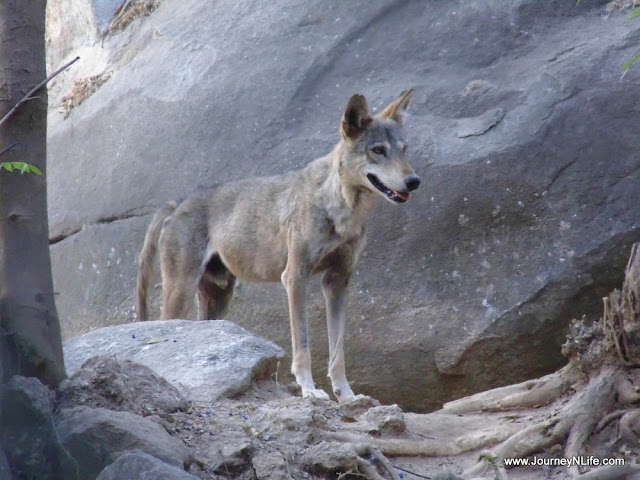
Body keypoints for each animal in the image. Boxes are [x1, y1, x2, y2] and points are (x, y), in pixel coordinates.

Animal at [136, 89, 420, 402]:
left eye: (404, 149)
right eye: (378, 150)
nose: (414, 181)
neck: (342, 209)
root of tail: (179, 201)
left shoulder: (337, 282)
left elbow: (338, 352)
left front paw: (346, 396)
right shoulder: (295, 278)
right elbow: (303, 346)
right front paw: (309, 390)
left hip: (219, 299)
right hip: (181, 292)